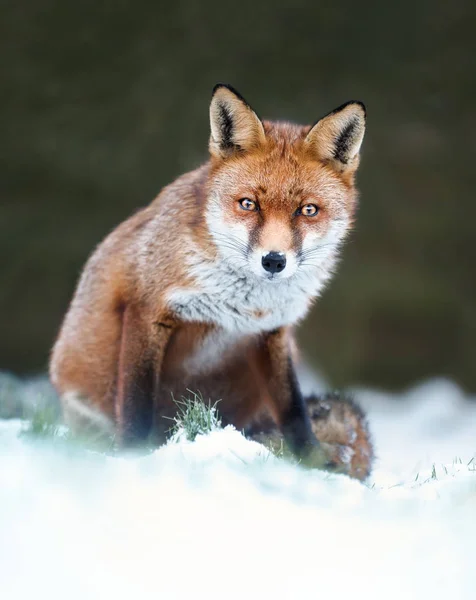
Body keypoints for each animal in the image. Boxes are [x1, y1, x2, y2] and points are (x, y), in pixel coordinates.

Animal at [49, 82, 368, 472]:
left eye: (307, 210)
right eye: (248, 204)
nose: (273, 261)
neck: (242, 305)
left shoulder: (273, 333)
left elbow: (294, 412)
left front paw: (313, 462)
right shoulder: (147, 311)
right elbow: (137, 407)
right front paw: (133, 459)